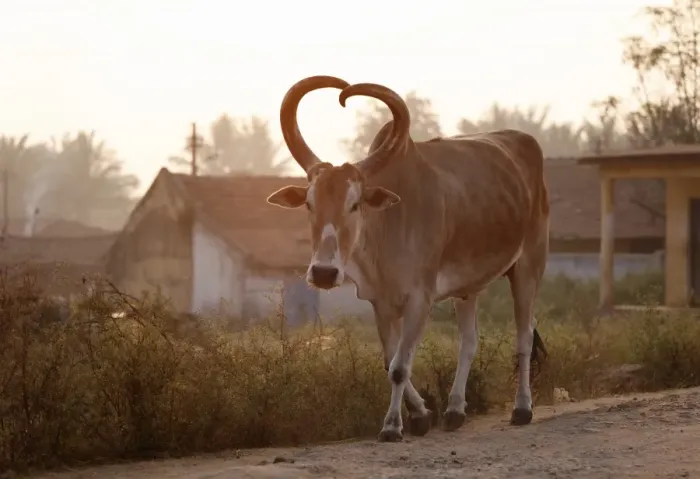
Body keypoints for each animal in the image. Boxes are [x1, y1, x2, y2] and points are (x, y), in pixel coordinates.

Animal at [266, 75, 549, 442]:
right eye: (309, 204)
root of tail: (525, 141)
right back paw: (455, 410)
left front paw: (392, 425)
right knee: (469, 341)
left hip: (529, 266)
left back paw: (522, 408)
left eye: (355, 204)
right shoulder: (381, 303)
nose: (324, 273)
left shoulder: (420, 299)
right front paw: (420, 415)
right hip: (468, 288)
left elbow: (401, 367)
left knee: (524, 336)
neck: (388, 229)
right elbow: (391, 361)